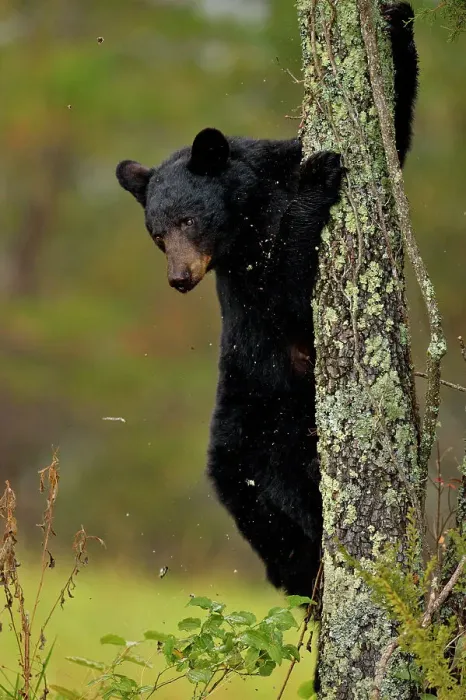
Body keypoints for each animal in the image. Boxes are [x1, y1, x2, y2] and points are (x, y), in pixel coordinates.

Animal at [115, 2, 418, 596]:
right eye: (157, 234)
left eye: (187, 220)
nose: (179, 278)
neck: (249, 208)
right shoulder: (248, 272)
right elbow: (289, 282)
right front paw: (322, 173)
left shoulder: (276, 166)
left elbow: (394, 125)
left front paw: (397, 22)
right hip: (260, 431)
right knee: (277, 505)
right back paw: (305, 567)